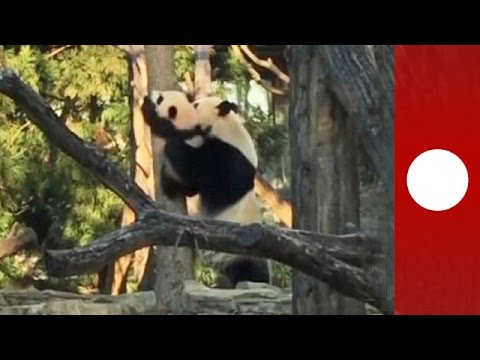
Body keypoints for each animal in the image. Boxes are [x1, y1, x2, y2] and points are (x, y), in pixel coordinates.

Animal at [141, 91, 272, 288]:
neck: (227, 128)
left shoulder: (226, 157)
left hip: (239, 252)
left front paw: (152, 114)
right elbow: (192, 185)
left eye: (195, 105)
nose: (189, 102)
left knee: (249, 272)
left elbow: (189, 161)